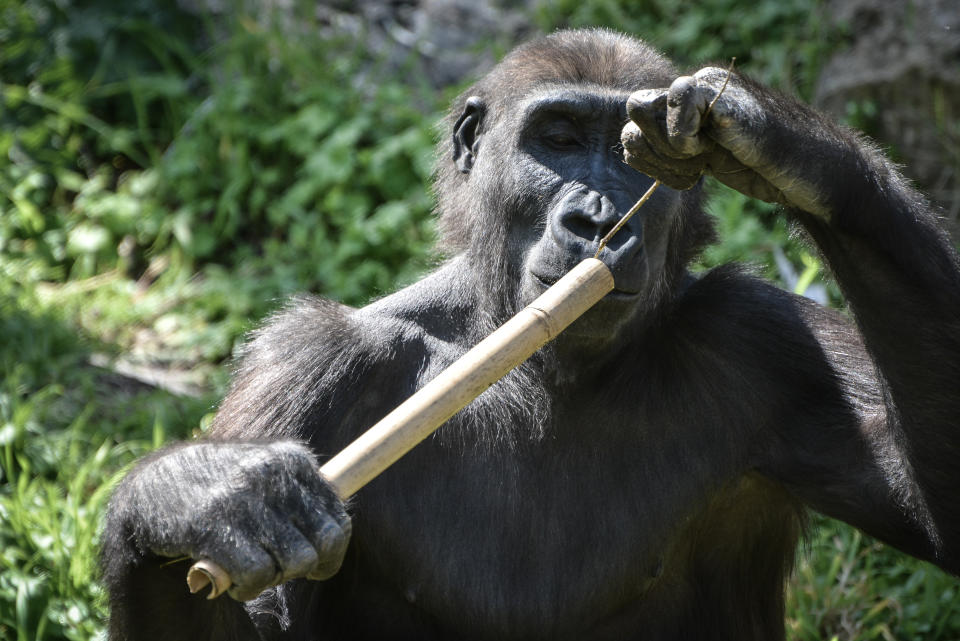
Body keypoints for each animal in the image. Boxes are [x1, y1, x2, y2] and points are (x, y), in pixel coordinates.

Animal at [103, 27, 960, 636]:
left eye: (632, 155)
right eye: (559, 138)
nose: (600, 220)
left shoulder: (765, 339)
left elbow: (933, 511)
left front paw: (772, 139)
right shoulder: (308, 361)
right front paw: (196, 497)